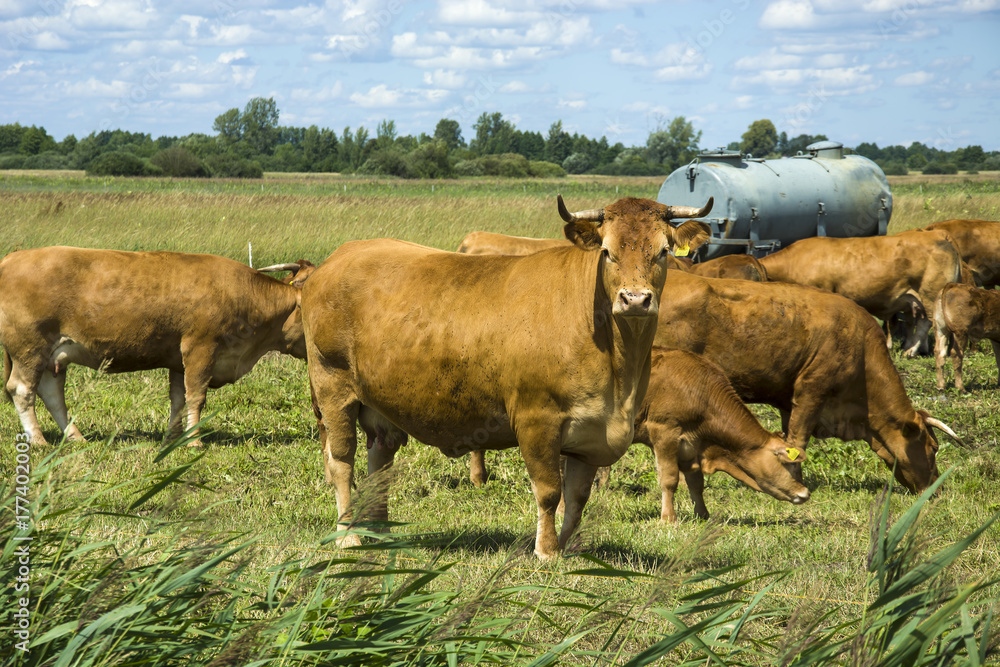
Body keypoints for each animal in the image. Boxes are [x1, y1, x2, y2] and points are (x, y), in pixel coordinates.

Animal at [0, 248, 314, 446]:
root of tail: (12, 257)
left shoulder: (178, 360)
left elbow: (179, 399)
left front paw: (173, 438)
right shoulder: (200, 349)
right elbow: (196, 396)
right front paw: (194, 441)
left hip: (53, 356)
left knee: (52, 394)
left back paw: (76, 437)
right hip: (29, 348)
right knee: (22, 390)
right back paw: (38, 441)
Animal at [302, 196, 712, 560]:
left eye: (662, 252)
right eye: (608, 252)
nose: (636, 299)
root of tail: (341, 256)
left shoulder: (591, 430)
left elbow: (577, 497)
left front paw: (569, 548)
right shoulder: (536, 419)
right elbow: (549, 491)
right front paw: (546, 552)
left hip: (380, 400)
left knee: (380, 458)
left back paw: (380, 530)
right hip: (333, 387)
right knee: (341, 461)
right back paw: (348, 535)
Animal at [636, 348, 808, 524]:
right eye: (789, 464)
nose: (805, 493)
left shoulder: (691, 447)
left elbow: (696, 483)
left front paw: (702, 515)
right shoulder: (664, 433)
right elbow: (669, 479)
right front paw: (669, 519)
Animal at [652, 272, 964, 496]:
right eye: (933, 447)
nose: (936, 490)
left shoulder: (789, 400)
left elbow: (789, 437)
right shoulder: (812, 390)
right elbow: (798, 439)